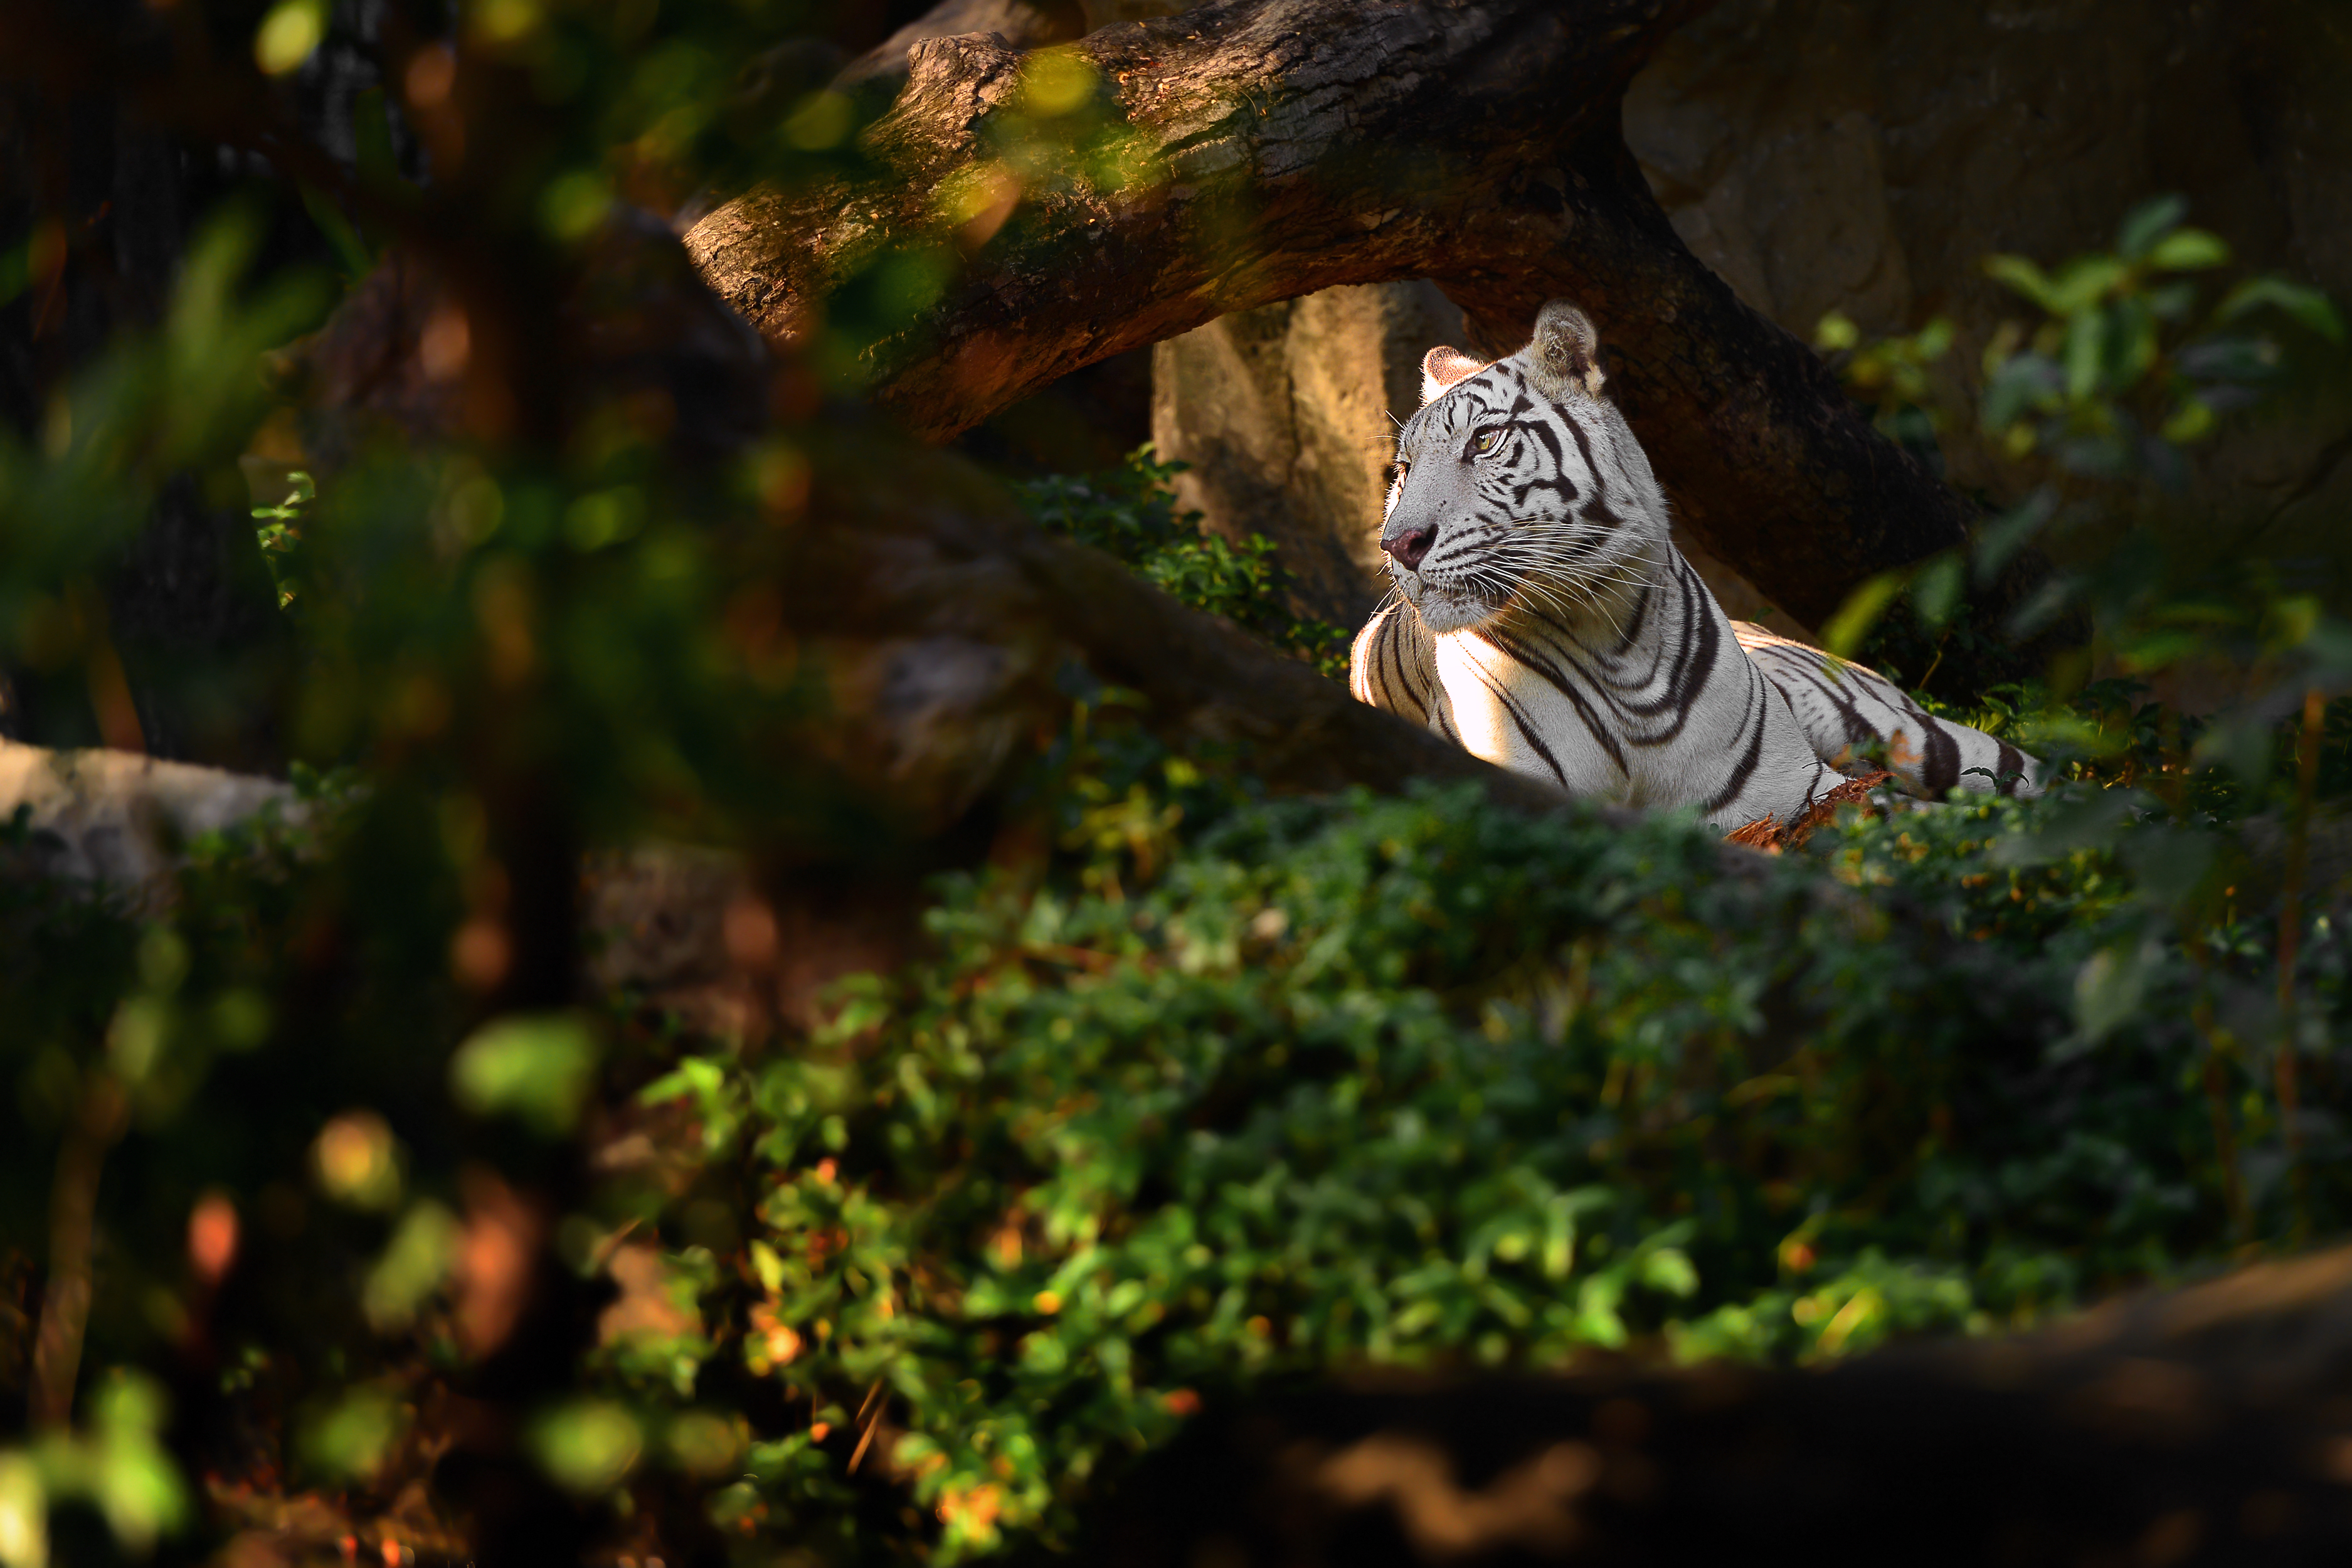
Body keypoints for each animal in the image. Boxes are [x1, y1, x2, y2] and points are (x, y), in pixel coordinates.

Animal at [1364, 296, 2042, 832]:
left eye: (1484, 441)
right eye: (1404, 470)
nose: (1400, 544)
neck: (1617, 643)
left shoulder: (1799, 789)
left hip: (1916, 736)